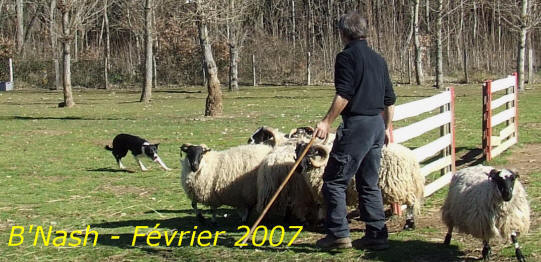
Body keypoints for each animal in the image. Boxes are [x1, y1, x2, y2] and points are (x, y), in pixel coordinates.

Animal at [294, 141, 424, 229]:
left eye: (308, 154)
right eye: (297, 151)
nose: (297, 169)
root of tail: (411, 159)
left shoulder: (324, 191)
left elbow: (325, 207)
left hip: (399, 185)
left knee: (411, 202)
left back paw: (409, 224)